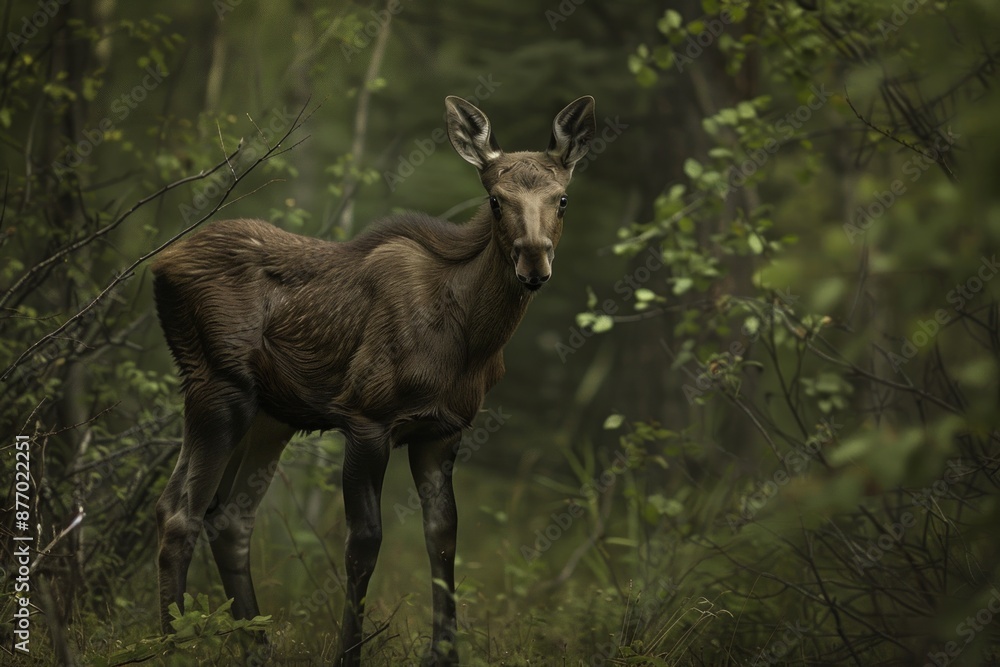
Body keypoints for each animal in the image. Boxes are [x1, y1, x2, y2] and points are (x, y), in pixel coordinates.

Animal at [151, 94, 596, 665]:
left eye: (562, 199)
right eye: (496, 200)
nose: (534, 264)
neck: (469, 341)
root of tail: (159, 266)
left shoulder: (442, 431)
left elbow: (443, 538)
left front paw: (445, 653)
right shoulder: (367, 418)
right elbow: (364, 544)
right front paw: (349, 653)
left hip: (270, 416)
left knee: (228, 518)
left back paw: (259, 646)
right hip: (216, 387)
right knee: (179, 514)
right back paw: (170, 647)